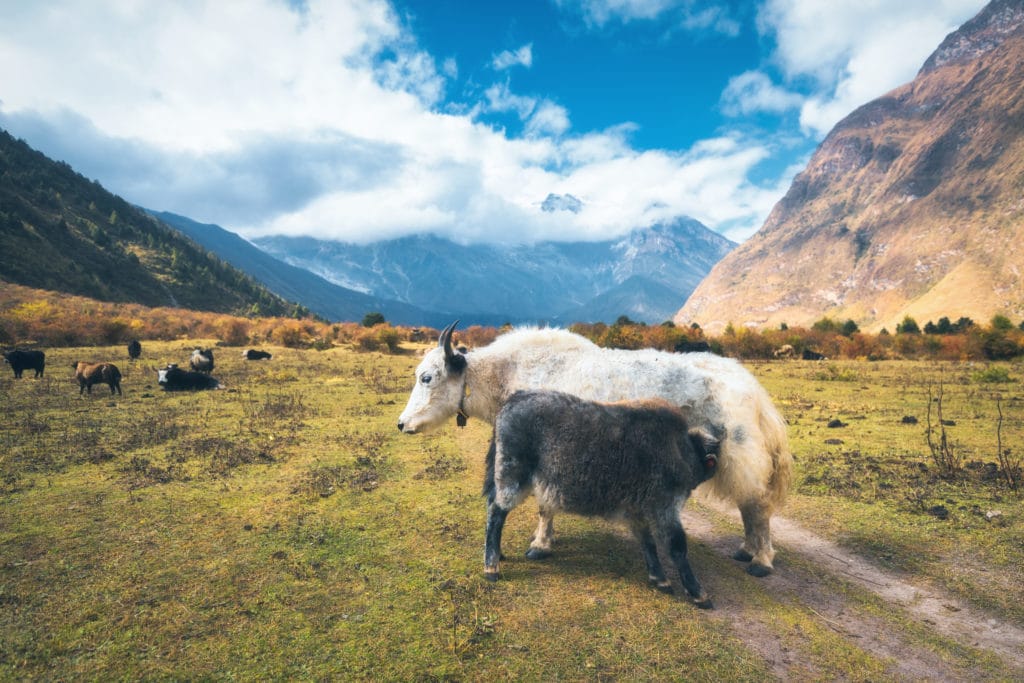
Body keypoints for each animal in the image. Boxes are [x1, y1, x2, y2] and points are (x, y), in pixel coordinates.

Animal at [399, 325, 790, 577]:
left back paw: (761, 560)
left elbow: (544, 504)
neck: (510, 372)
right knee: (749, 506)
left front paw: (540, 544)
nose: (402, 424)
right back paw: (746, 550)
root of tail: (752, 387)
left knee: (756, 505)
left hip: (739, 451)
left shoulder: (550, 454)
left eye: (427, 378)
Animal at [483, 389, 716, 610]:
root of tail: (515, 398)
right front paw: (698, 593)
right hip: (512, 476)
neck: (680, 449)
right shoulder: (664, 507)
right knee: (496, 512)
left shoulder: (638, 511)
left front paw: (659, 578)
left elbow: (647, 542)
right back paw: (491, 567)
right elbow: (677, 546)